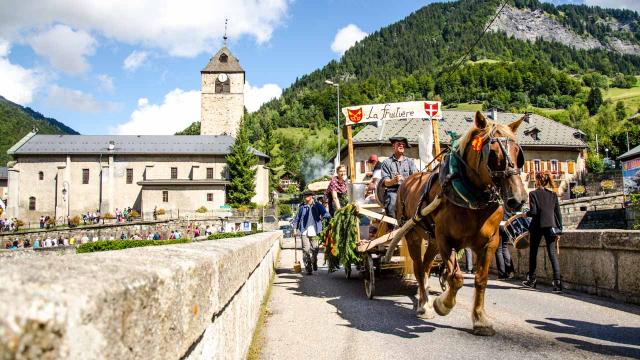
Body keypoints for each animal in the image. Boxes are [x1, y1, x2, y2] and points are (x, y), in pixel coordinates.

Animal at [396, 111, 524, 336]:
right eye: (492, 154)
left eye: (518, 153)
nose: (517, 199)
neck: (471, 197)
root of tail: (408, 180)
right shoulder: (446, 240)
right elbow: (455, 278)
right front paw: (442, 305)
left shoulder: (489, 243)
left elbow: (481, 280)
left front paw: (481, 320)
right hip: (413, 235)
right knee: (420, 269)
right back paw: (425, 306)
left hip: (433, 240)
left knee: (427, 267)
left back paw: (424, 300)